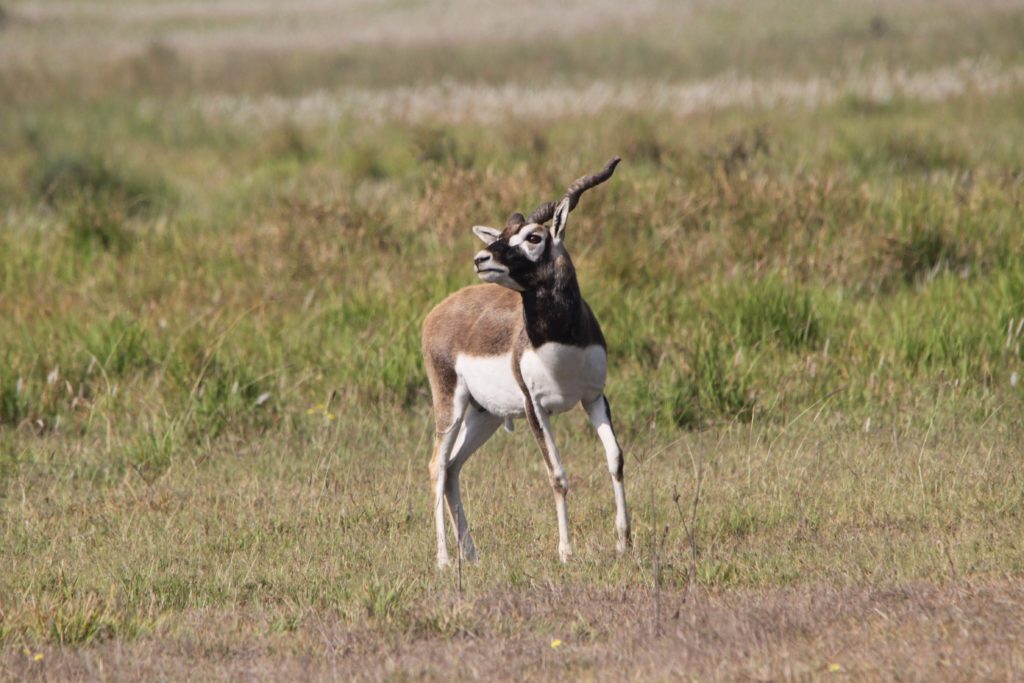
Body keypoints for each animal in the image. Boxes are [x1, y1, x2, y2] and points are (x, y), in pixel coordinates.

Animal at [423, 156, 630, 565]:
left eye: (534, 237)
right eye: (501, 235)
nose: (481, 258)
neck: (560, 341)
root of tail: (438, 311)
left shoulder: (594, 397)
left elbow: (614, 458)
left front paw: (624, 542)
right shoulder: (536, 408)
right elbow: (558, 475)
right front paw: (566, 551)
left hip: (484, 414)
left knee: (453, 467)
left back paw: (471, 555)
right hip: (450, 404)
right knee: (437, 465)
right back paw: (443, 559)